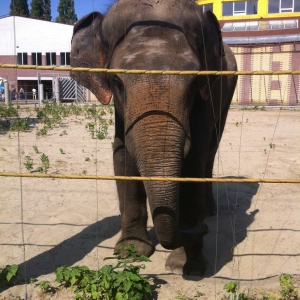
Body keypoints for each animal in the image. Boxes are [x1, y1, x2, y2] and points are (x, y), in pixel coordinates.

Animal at [70, 0, 237, 276]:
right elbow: (122, 155)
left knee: (211, 150)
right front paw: (131, 252)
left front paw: (185, 267)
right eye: (117, 82)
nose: (200, 229)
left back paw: (208, 211)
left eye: (194, 83)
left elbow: (195, 159)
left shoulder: (208, 93)